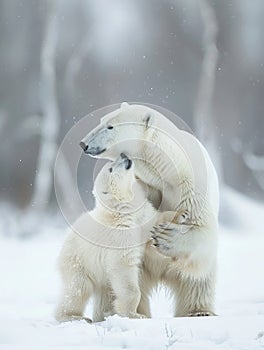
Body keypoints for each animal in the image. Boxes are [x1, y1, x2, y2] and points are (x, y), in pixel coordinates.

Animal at [80, 102, 219, 318]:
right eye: (101, 121)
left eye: (110, 126)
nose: (83, 143)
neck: (166, 170)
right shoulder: (141, 182)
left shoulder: (191, 185)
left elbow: (202, 228)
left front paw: (166, 237)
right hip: (141, 268)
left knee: (198, 281)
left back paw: (199, 312)